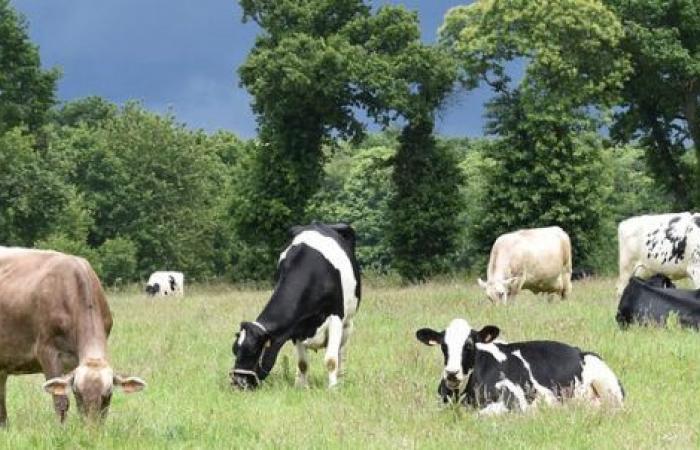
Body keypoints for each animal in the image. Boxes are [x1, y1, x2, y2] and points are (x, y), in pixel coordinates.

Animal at [231, 222, 360, 390]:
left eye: (253, 351)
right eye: (235, 350)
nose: (238, 382)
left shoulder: (335, 317)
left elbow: (331, 360)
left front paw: (332, 388)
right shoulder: (296, 327)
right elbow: (302, 363)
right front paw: (302, 387)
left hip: (348, 322)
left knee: (341, 352)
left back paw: (341, 379)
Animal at [416, 318, 624, 416]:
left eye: (469, 345)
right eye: (443, 346)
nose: (452, 373)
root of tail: (577, 350)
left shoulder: (512, 401)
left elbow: (480, 415)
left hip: (609, 388)